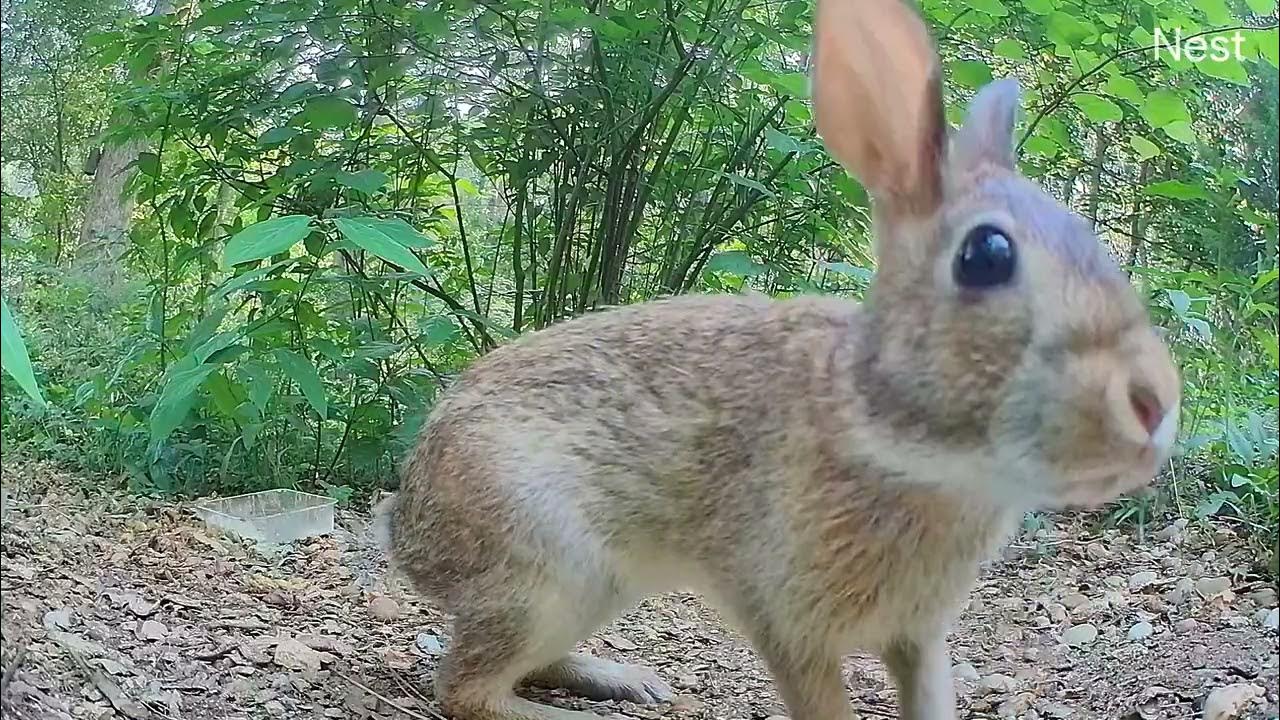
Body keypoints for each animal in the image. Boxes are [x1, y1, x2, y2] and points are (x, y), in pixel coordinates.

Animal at [373, 0, 1181, 717]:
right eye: (986, 256)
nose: (1154, 403)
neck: (901, 443)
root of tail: (406, 532)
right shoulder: (792, 626)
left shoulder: (919, 636)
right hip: (545, 568)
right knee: (468, 690)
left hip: (594, 587)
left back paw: (626, 682)